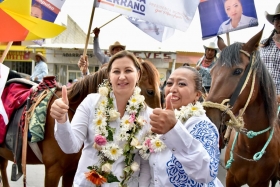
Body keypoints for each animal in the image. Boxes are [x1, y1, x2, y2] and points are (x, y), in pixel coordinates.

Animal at [203, 28, 280, 186]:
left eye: (237, 71)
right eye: (212, 72)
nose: (209, 115)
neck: (251, 147)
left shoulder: (261, 183)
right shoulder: (231, 178)